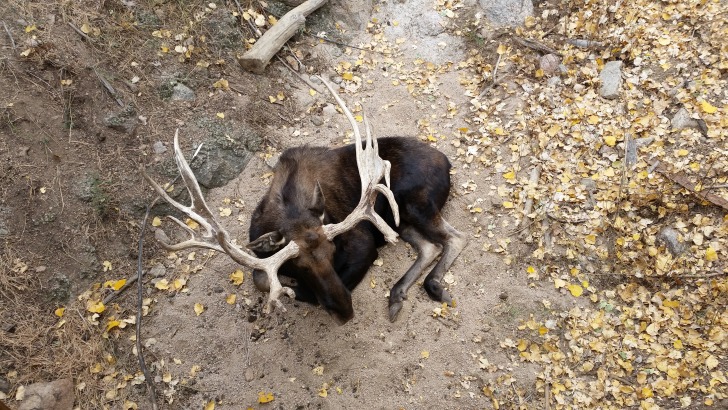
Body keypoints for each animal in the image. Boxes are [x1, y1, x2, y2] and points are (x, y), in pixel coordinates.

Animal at [144, 77, 466, 324]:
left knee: (456, 237)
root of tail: (447, 161)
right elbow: (261, 278)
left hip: (413, 203)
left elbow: (284, 287)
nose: (345, 312)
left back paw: (433, 286)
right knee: (430, 245)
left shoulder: (363, 244)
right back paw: (397, 294)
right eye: (300, 266)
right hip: (399, 219)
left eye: (333, 250)